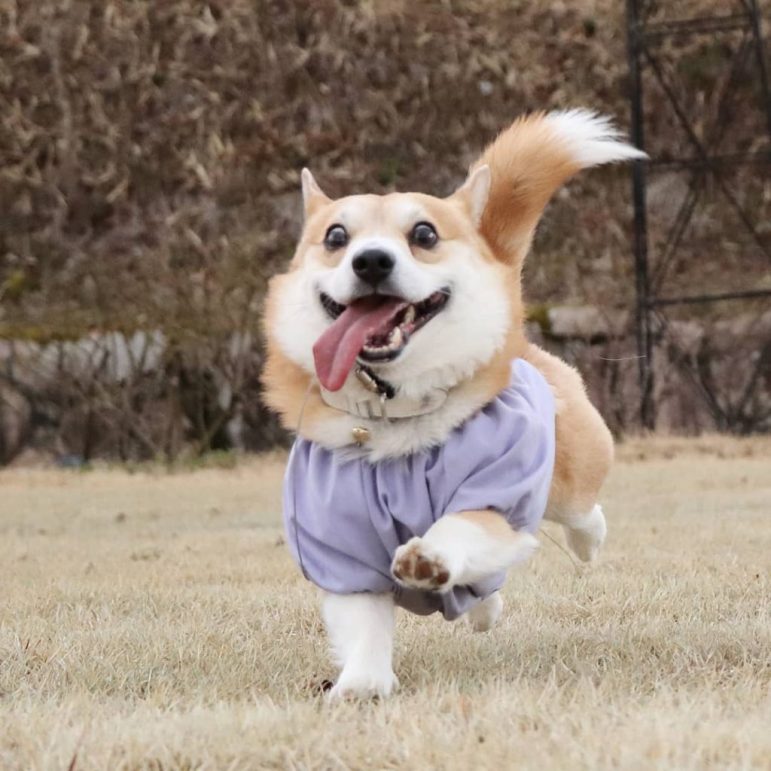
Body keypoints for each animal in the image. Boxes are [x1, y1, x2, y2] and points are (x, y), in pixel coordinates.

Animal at [262, 109, 645, 699]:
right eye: (336, 236)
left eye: (424, 234)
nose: (371, 261)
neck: (398, 416)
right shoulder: (337, 545)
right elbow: (364, 622)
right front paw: (362, 686)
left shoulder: (498, 491)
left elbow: (460, 527)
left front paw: (428, 558)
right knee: (484, 594)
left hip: (568, 475)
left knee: (582, 513)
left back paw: (585, 543)